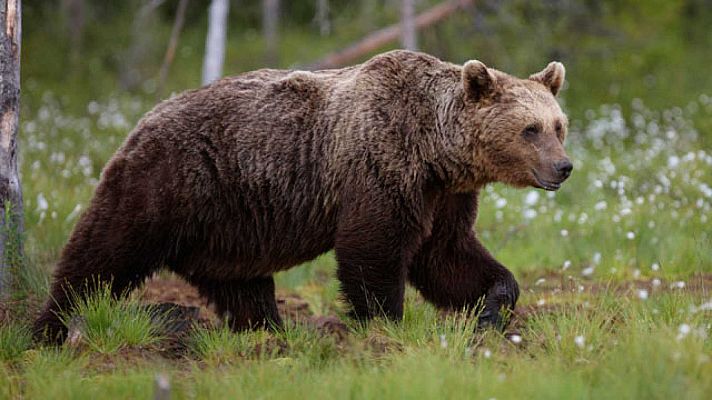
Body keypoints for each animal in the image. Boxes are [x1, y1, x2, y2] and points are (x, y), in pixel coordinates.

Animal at [33, 50, 572, 343]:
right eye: (530, 129)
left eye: (558, 125)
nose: (564, 167)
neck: (435, 150)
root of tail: (143, 117)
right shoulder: (380, 167)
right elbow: (373, 250)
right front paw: (384, 324)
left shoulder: (443, 195)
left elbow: (448, 255)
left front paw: (492, 308)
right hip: (167, 181)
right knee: (105, 249)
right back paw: (50, 326)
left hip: (230, 224)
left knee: (242, 285)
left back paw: (268, 332)